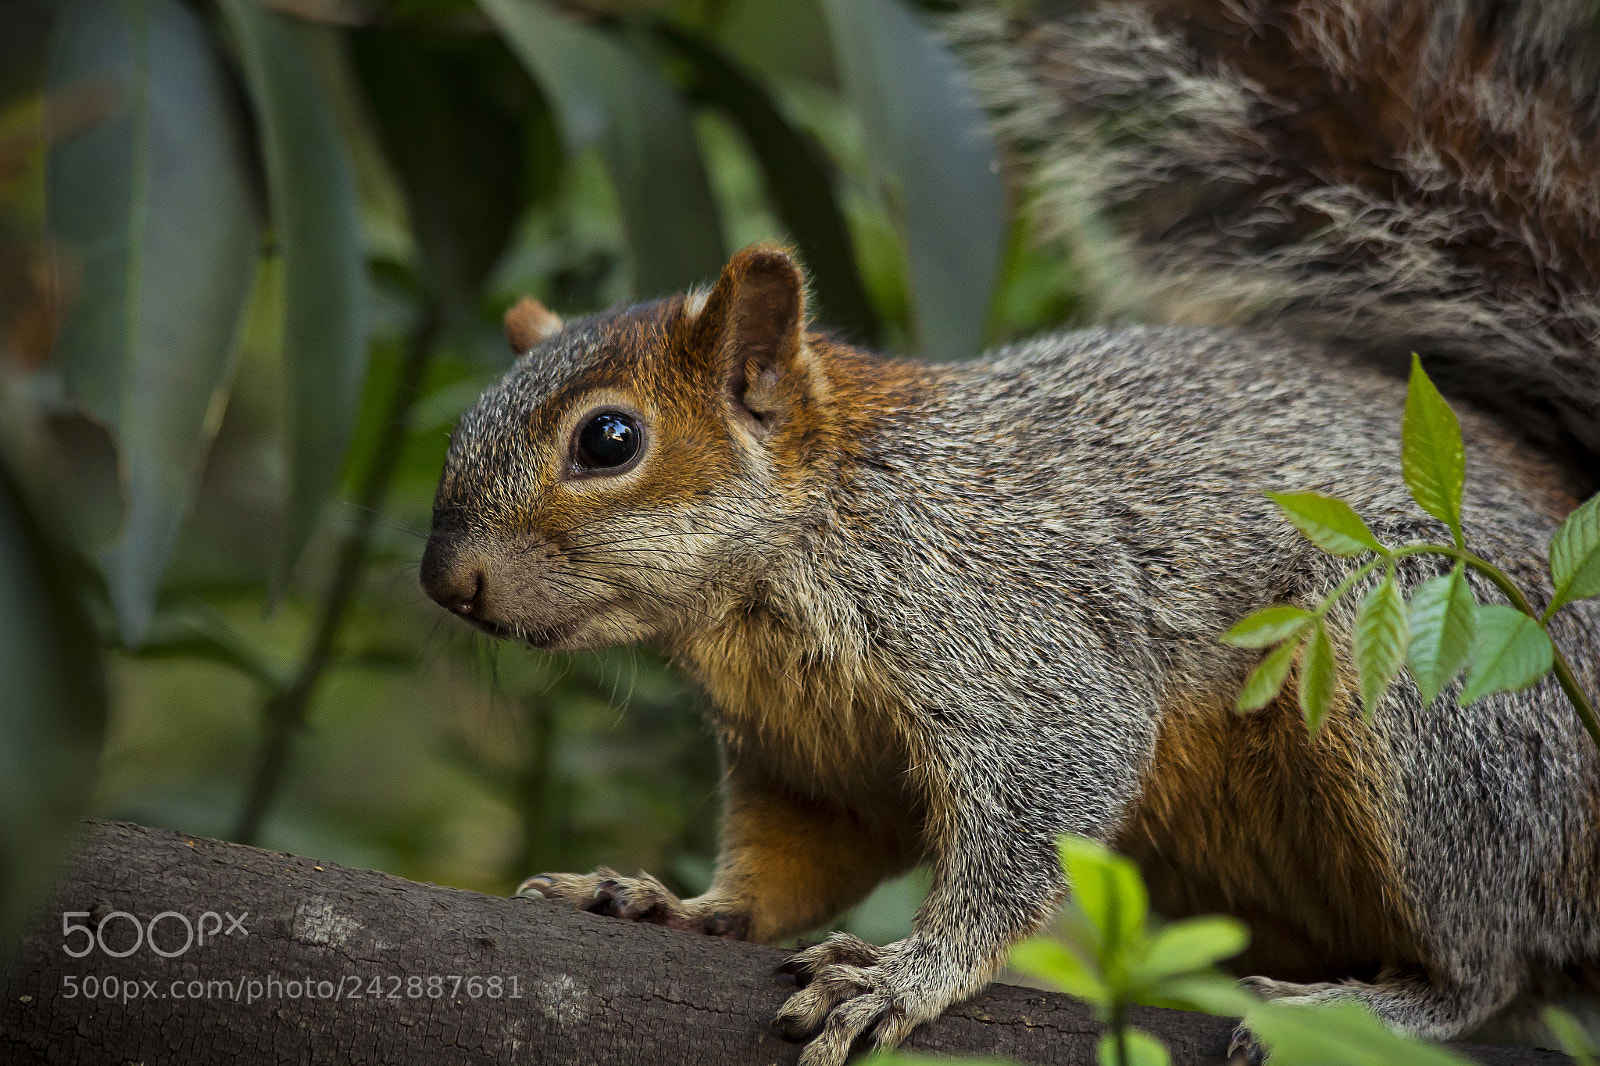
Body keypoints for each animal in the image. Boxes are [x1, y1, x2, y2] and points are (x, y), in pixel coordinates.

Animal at [420, 1, 1600, 1063]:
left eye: (609, 439)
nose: (444, 581)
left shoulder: (1003, 628)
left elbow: (1043, 802)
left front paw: (904, 974)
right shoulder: (805, 760)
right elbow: (791, 863)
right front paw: (673, 903)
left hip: (1440, 692)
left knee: (1498, 962)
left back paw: (1391, 1001)